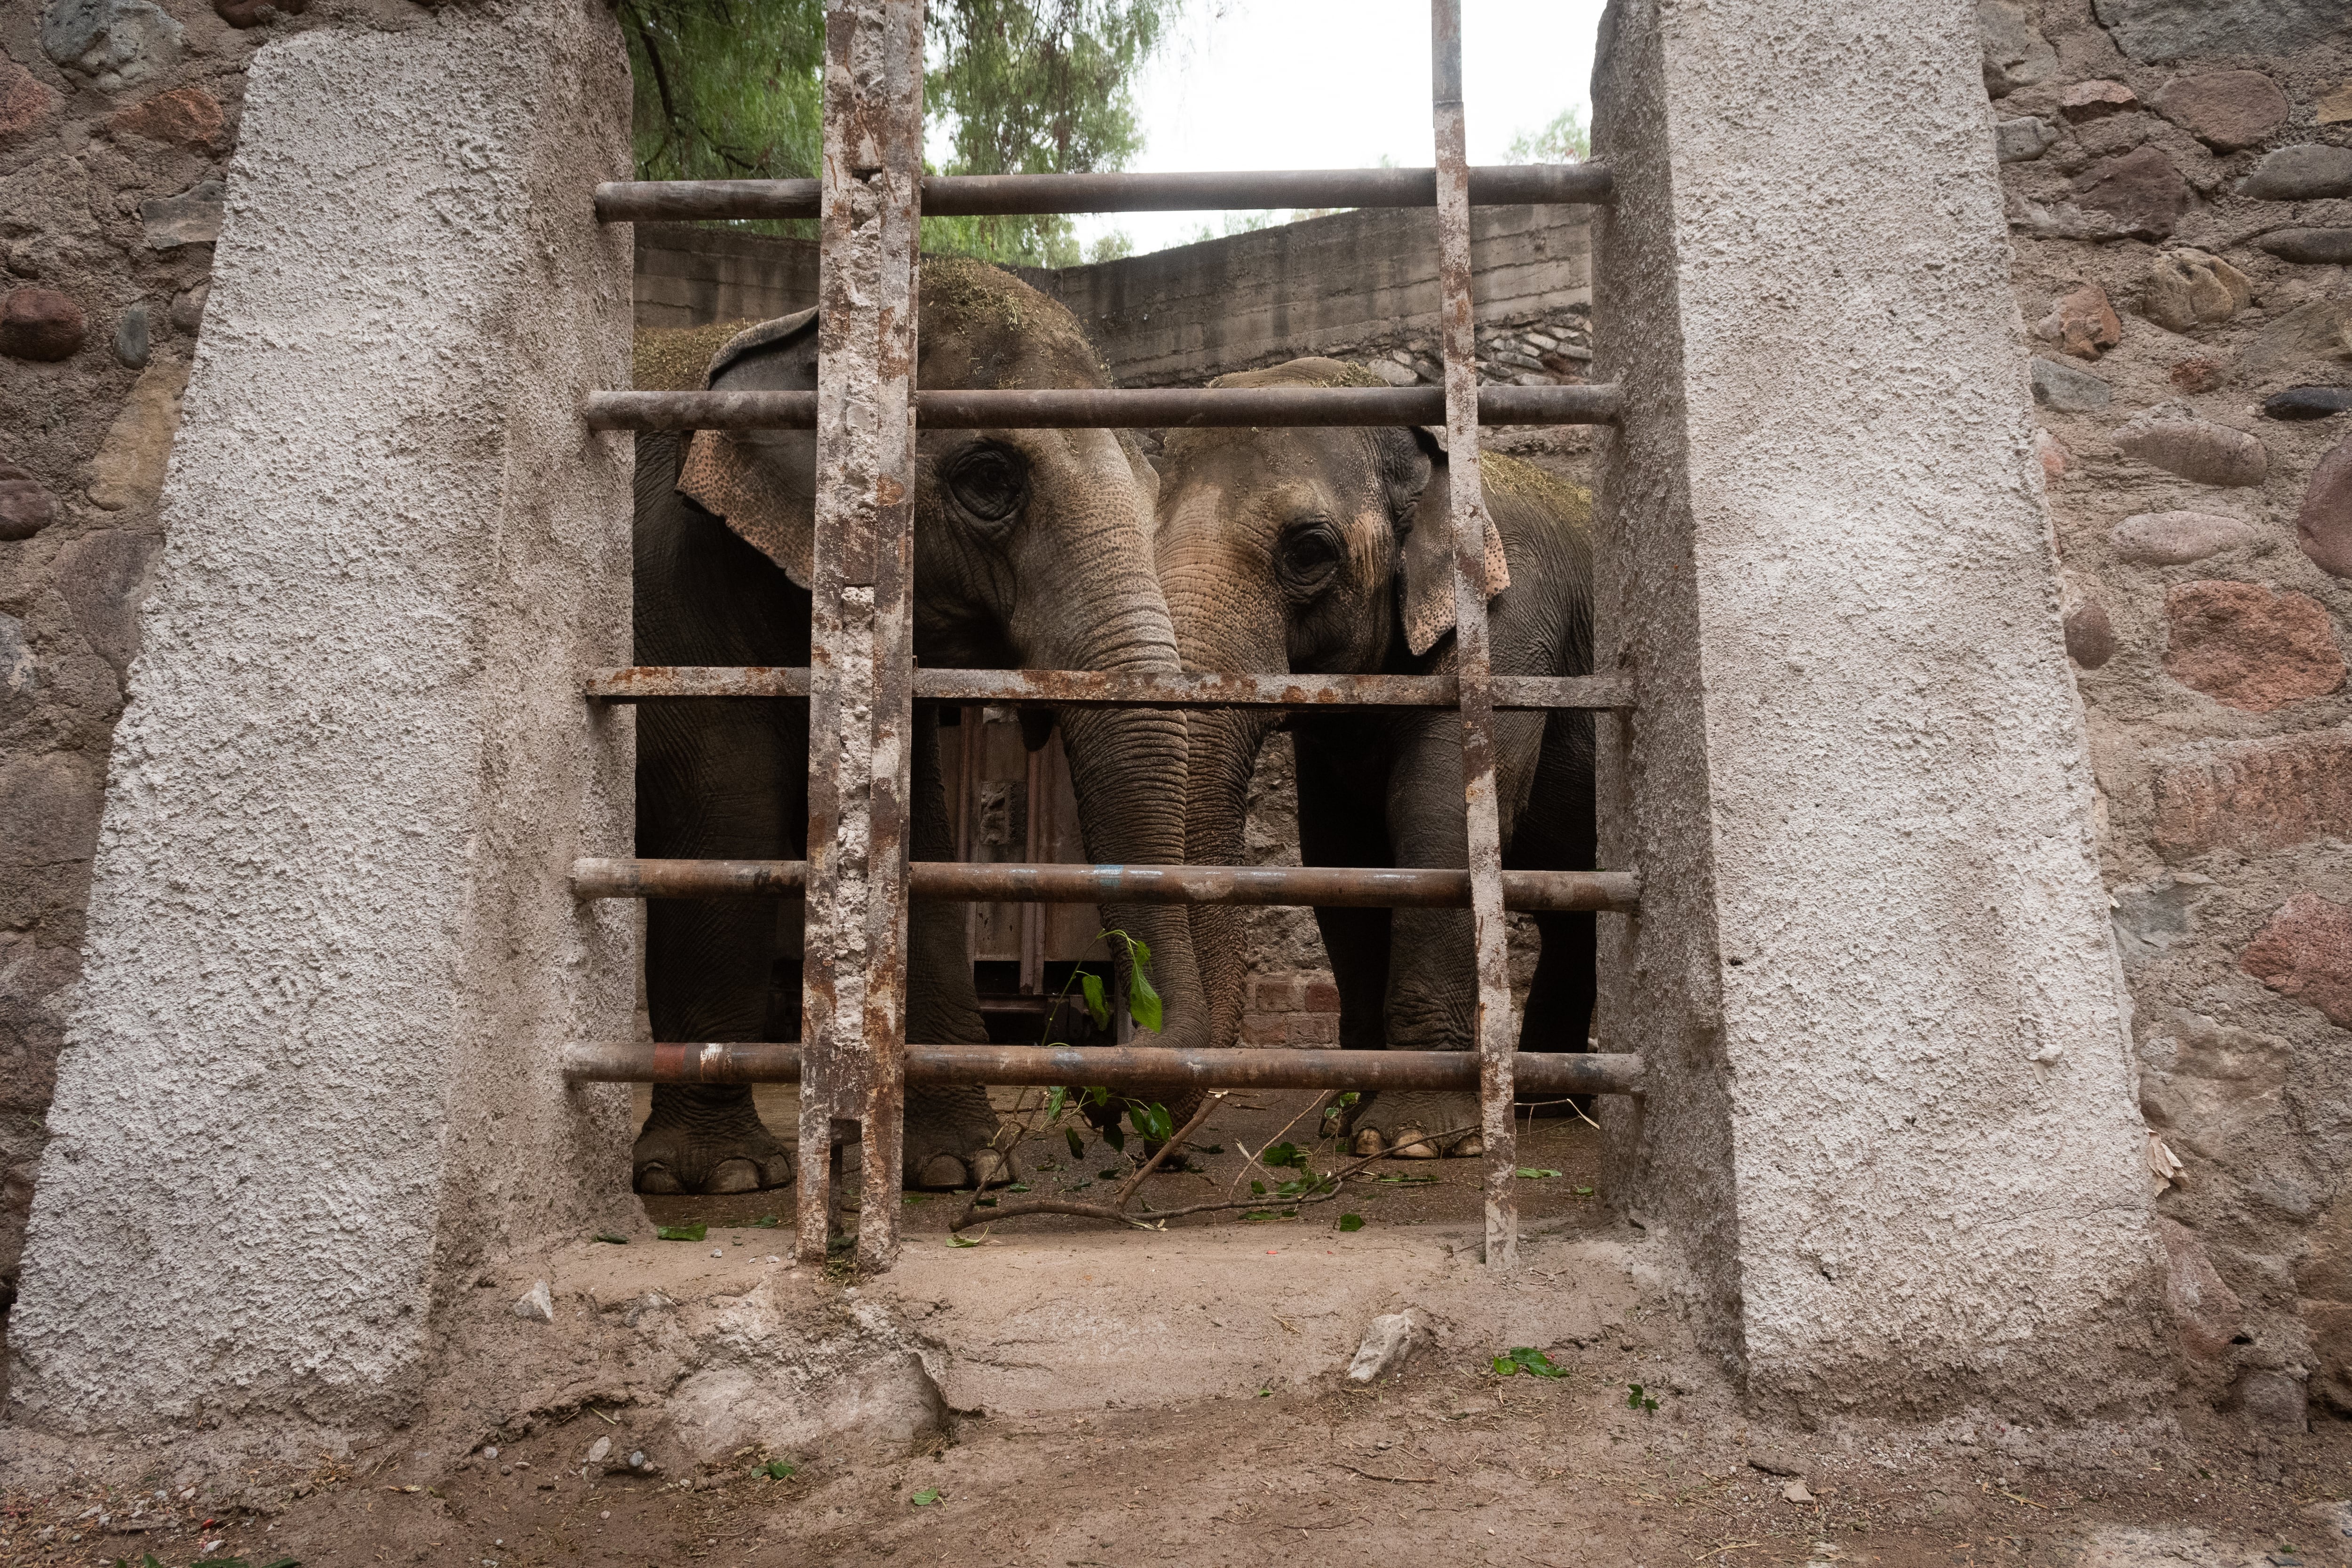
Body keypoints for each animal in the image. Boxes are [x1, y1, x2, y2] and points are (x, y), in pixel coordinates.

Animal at [630, 255, 1195, 1203]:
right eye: (990, 479)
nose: (1123, 1104)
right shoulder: (678, 588)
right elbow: (724, 807)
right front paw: (726, 1178)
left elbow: (922, 828)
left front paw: (959, 1167)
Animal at [1157, 359, 1599, 1166]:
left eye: (1308, 551)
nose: (1170, 1151)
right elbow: (1339, 850)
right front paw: (1345, 1121)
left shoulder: (1509, 628)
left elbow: (1435, 823)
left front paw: (1412, 1138)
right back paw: (1547, 1106)